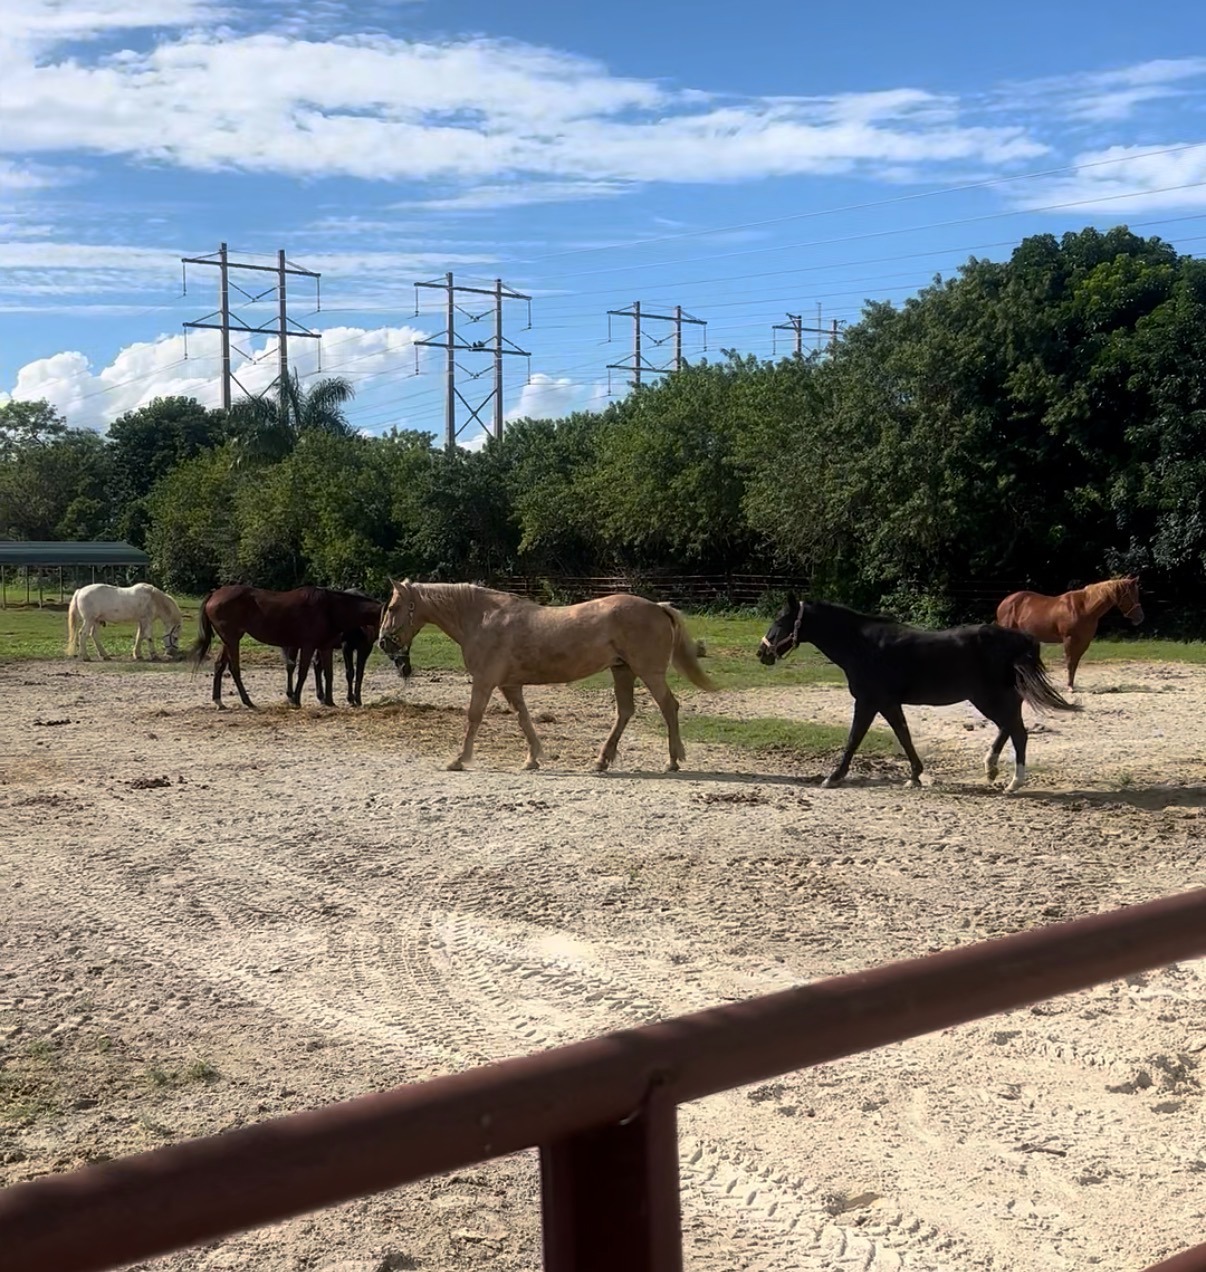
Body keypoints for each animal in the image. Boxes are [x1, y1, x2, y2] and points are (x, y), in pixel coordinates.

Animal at [188, 585, 387, 709]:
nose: (384, 639)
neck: (330, 607)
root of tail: (214, 594)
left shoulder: (325, 647)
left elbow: (328, 674)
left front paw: (330, 701)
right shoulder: (309, 645)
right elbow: (303, 672)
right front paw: (296, 699)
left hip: (227, 640)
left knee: (220, 665)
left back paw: (219, 701)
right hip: (232, 639)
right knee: (234, 668)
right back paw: (247, 701)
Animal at [377, 579, 715, 772]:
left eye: (393, 607)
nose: (383, 642)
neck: (482, 619)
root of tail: (658, 607)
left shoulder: (485, 682)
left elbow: (473, 717)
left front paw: (459, 759)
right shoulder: (510, 685)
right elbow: (523, 719)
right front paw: (532, 759)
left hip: (648, 672)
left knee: (669, 707)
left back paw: (672, 761)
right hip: (623, 671)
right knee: (625, 712)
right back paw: (601, 761)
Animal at [758, 595, 1080, 793]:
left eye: (780, 621)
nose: (762, 652)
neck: (862, 646)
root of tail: (1020, 638)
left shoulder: (868, 702)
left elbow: (854, 739)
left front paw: (833, 777)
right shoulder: (888, 703)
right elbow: (903, 735)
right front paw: (914, 776)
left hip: (989, 698)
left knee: (1018, 731)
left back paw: (1014, 782)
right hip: (996, 698)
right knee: (1009, 727)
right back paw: (990, 768)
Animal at [996, 575, 1143, 689]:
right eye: (1131, 595)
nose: (1140, 618)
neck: (1084, 608)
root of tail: (1005, 602)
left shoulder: (1084, 641)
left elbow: (1075, 662)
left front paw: (1071, 685)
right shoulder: (1069, 639)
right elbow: (1070, 661)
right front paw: (1069, 687)